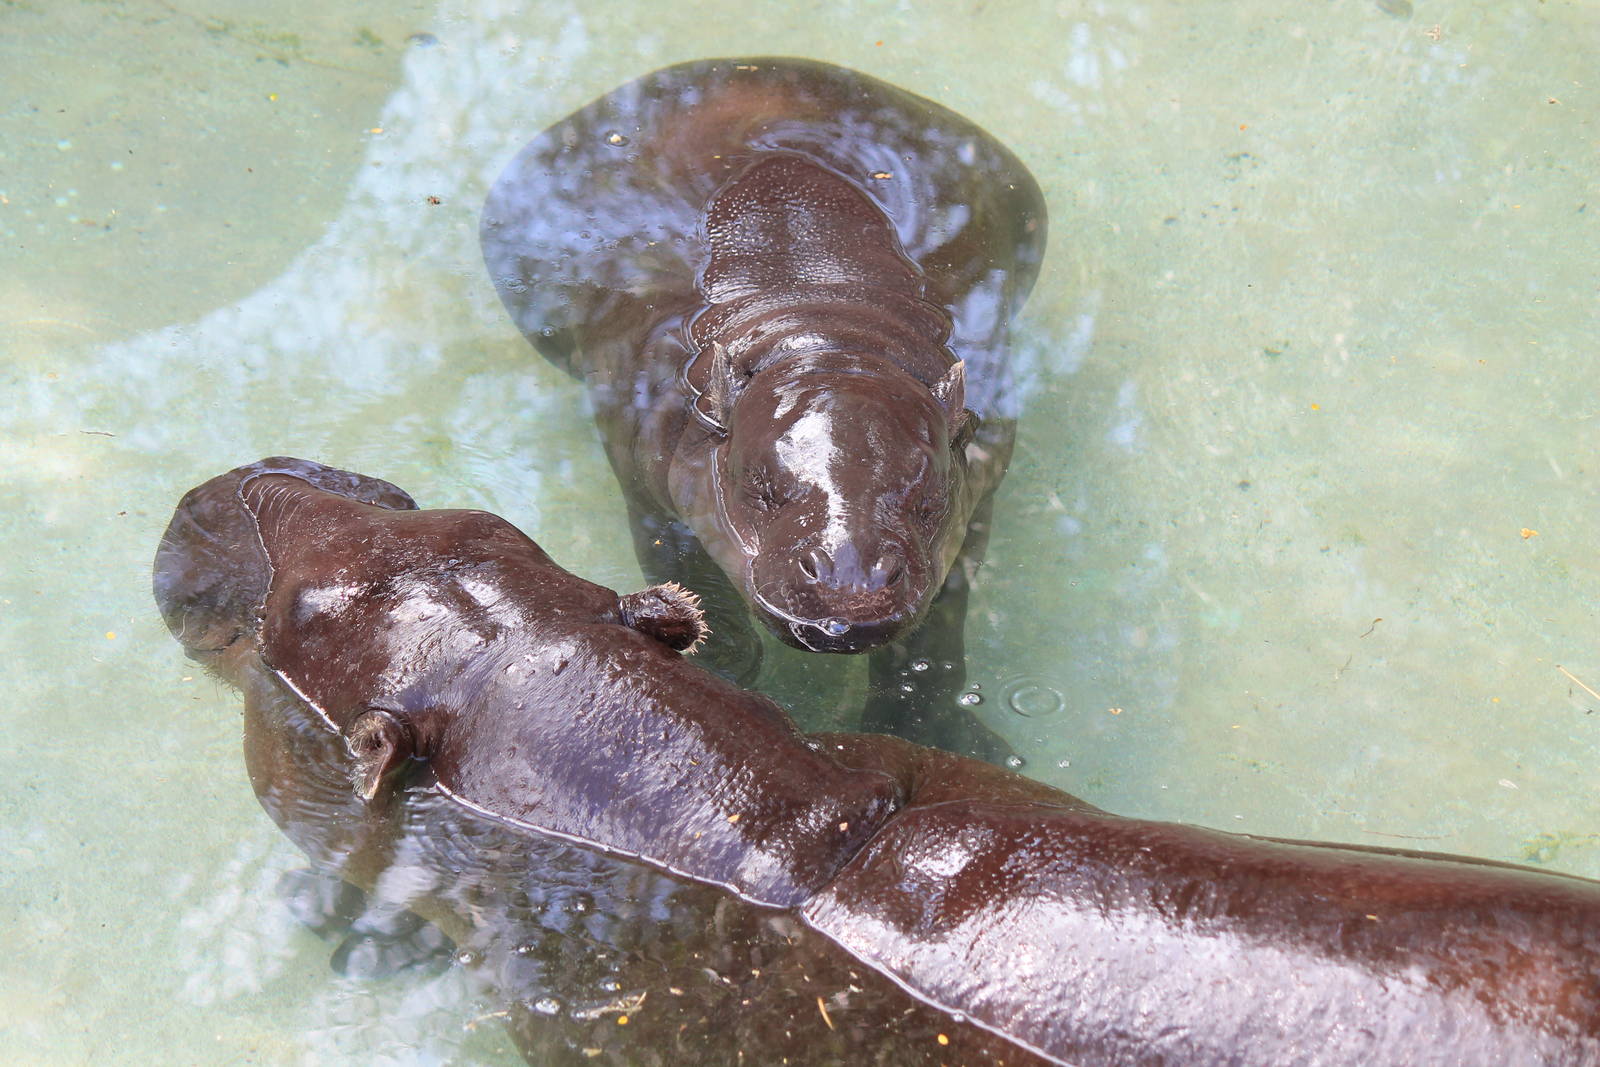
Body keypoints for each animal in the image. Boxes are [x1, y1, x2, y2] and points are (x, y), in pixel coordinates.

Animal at [480, 57, 1048, 759]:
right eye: (761, 487)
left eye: (928, 498)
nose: (849, 580)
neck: (822, 319)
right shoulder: (645, 481)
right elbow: (685, 568)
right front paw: (725, 671)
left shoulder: (981, 486)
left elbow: (941, 628)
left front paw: (933, 730)